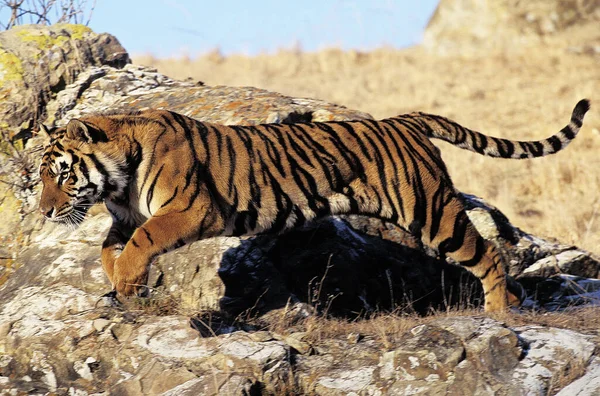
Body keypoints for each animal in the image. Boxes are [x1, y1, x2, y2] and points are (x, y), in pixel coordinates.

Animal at [38, 99, 592, 312]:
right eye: (43, 177)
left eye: (60, 174)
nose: (44, 211)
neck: (119, 180)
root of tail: (405, 120)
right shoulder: (124, 218)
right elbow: (109, 249)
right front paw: (118, 283)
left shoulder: (191, 209)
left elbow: (142, 242)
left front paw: (127, 282)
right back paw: (515, 303)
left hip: (432, 213)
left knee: (489, 255)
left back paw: (500, 310)